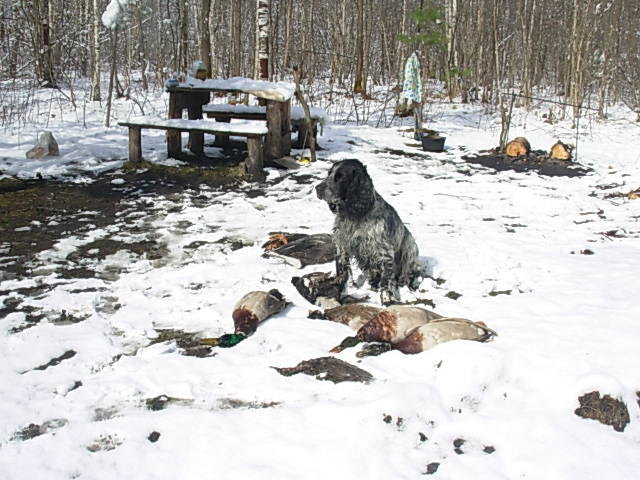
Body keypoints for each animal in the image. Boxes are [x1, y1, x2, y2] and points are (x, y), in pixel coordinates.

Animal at [316, 161, 424, 304]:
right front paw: (345, 292)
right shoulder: (342, 247)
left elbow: (386, 281)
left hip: (411, 247)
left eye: (340, 177)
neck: (355, 214)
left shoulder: (385, 253)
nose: (317, 188)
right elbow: (344, 274)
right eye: (329, 173)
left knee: (411, 272)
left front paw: (386, 299)